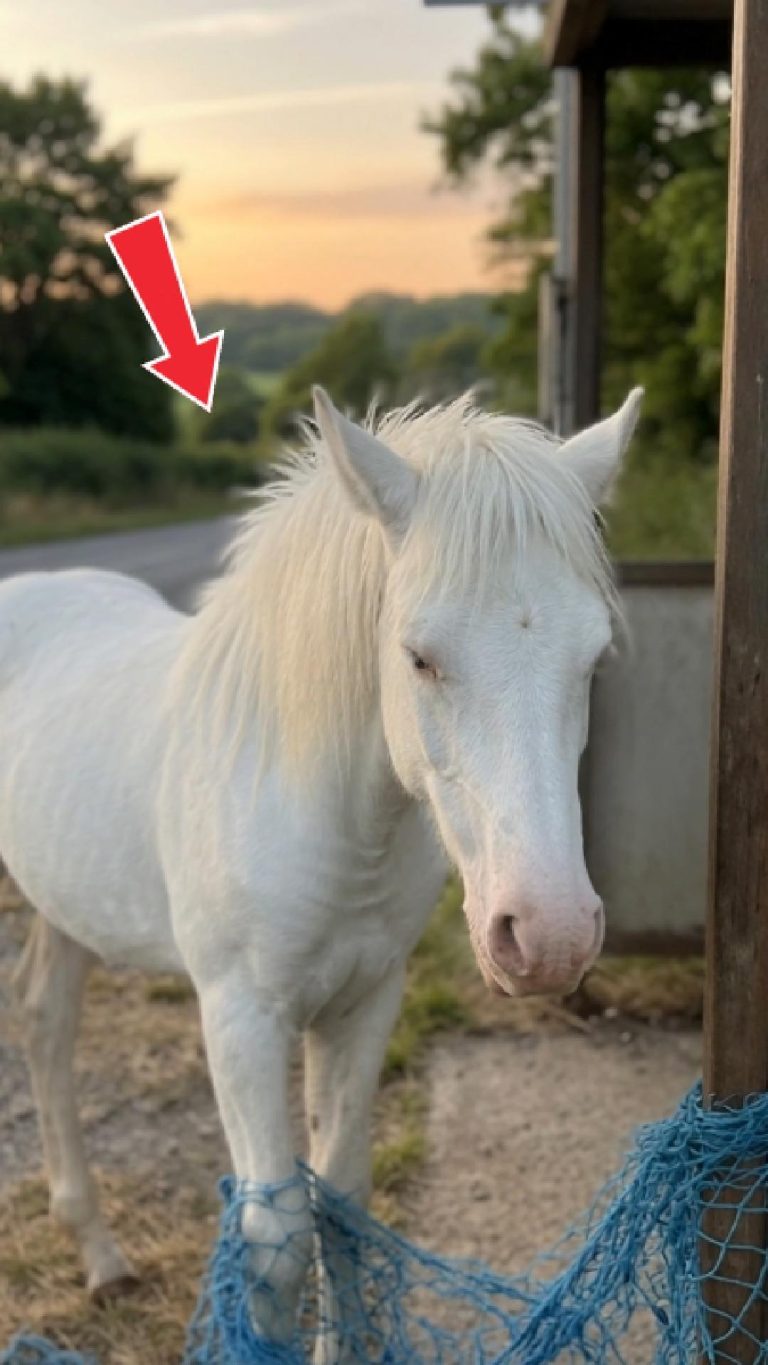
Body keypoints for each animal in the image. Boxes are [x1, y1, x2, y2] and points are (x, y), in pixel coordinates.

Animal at [1, 384, 641, 1344]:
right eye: (419, 655)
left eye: (593, 655)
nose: (550, 935)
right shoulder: (241, 1018)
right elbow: (274, 1237)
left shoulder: (365, 999)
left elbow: (343, 1205)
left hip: (68, 902)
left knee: (45, 1019)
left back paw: (102, 1257)